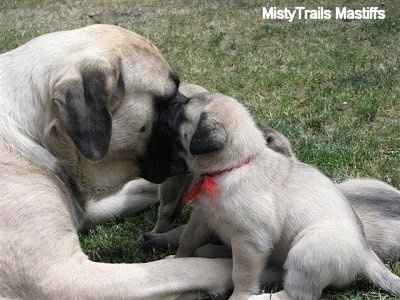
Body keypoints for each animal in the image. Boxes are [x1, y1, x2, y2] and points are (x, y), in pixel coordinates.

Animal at [0, 25, 231, 300]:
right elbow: (181, 268)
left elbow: (133, 193)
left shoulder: (78, 208)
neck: (36, 132)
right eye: (168, 97)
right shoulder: (63, 276)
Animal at [162, 92, 400, 298]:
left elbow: (242, 275)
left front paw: (240, 296)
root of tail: (366, 254)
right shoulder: (202, 218)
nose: (171, 102)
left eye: (183, 113)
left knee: (297, 294)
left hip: (306, 252)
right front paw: (176, 260)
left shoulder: (250, 242)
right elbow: (187, 240)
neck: (233, 167)